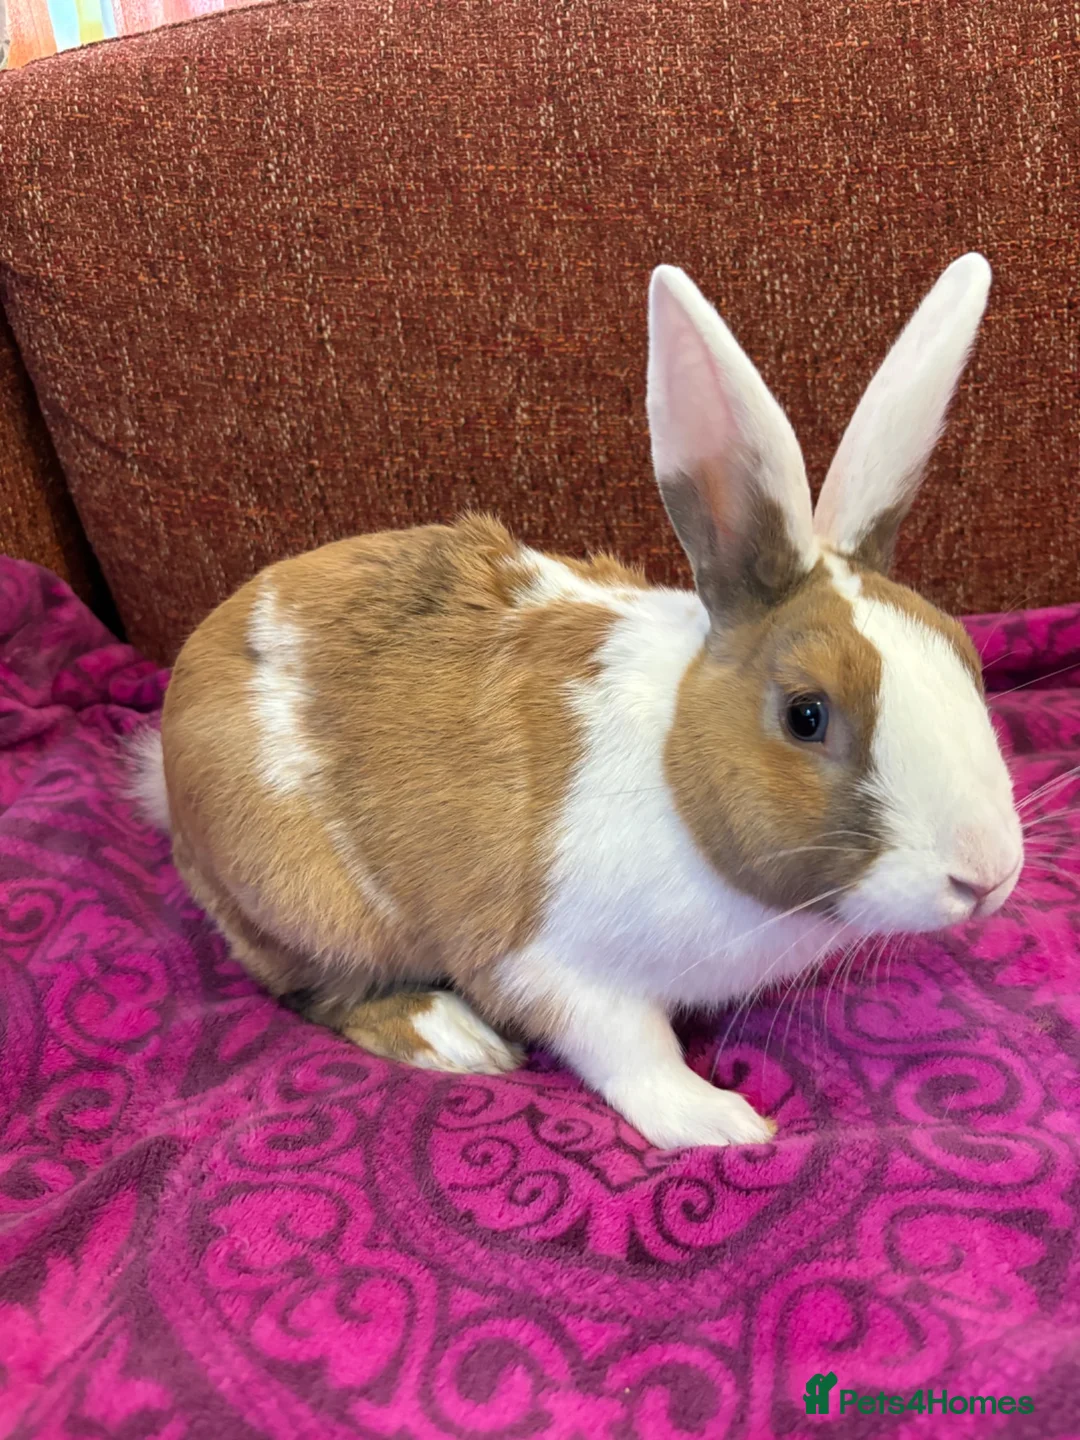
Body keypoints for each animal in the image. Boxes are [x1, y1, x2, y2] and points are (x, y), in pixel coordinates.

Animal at [143, 253, 1023, 1151]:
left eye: (966, 656)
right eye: (805, 715)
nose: (987, 876)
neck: (677, 773)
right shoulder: (552, 966)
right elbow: (631, 1050)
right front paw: (719, 1122)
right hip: (305, 904)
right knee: (317, 991)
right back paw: (453, 1039)